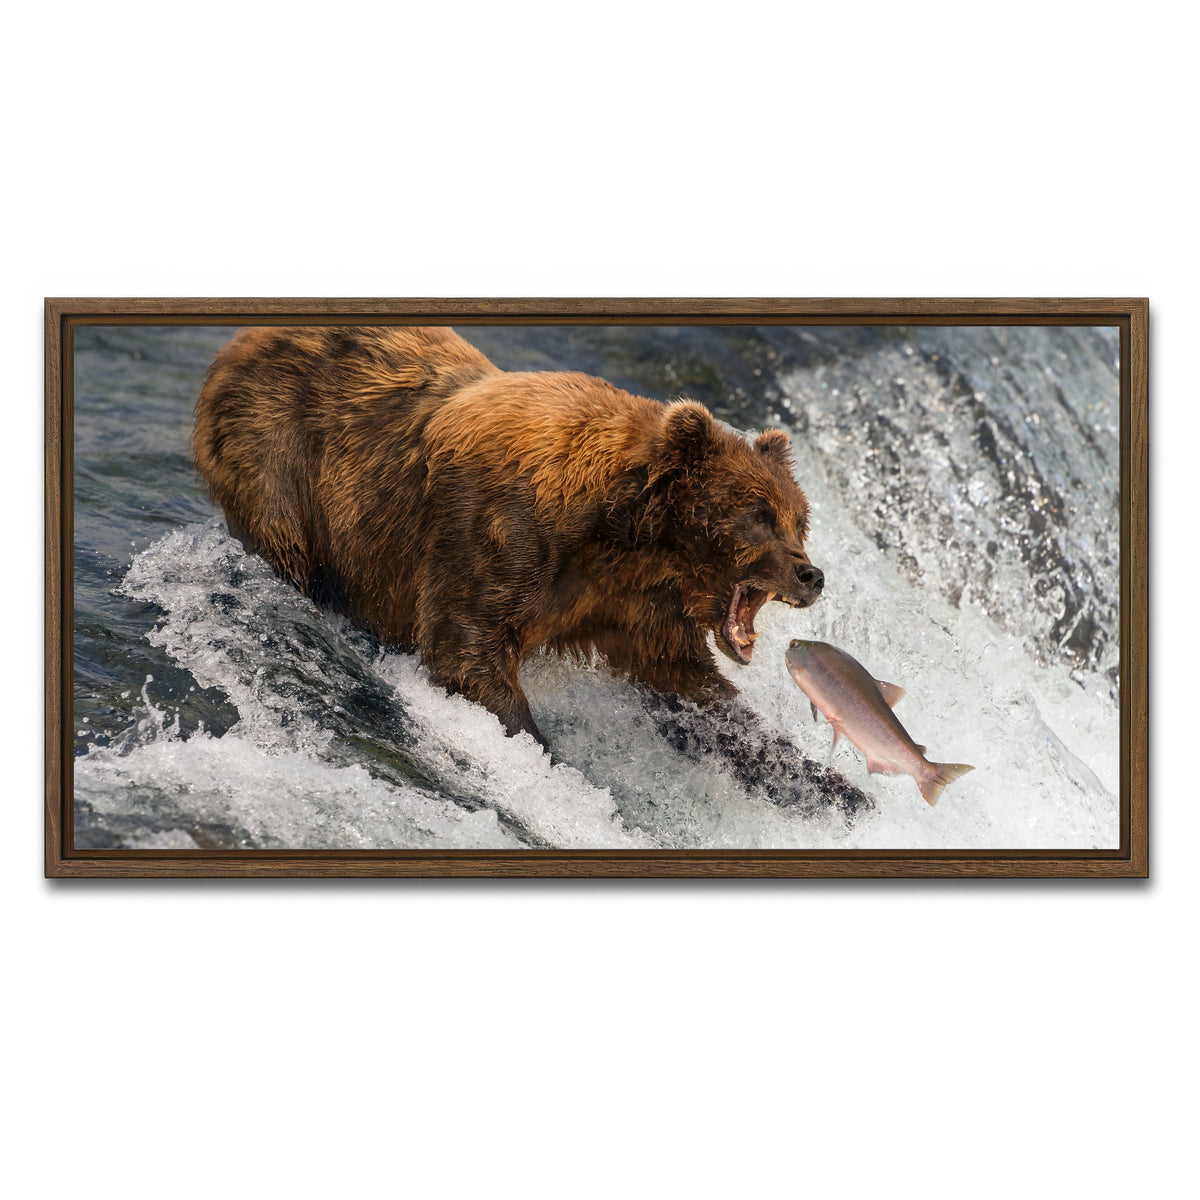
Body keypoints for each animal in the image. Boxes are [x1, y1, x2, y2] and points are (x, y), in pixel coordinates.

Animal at [192, 326, 859, 810]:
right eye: (757, 516)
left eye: (798, 519)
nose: (811, 574)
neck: (623, 535)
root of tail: (239, 342)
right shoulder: (500, 532)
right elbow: (469, 648)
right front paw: (552, 762)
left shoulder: (632, 604)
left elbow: (690, 688)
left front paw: (835, 786)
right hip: (280, 454)